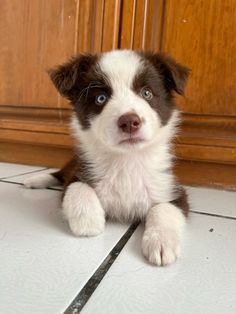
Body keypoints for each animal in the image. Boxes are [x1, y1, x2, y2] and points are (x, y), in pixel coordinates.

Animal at [24, 50, 190, 266]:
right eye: (101, 98)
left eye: (147, 93)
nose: (129, 122)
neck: (126, 160)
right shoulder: (80, 171)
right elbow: (76, 187)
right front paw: (89, 222)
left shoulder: (172, 188)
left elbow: (164, 208)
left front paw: (161, 242)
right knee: (59, 174)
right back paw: (35, 179)